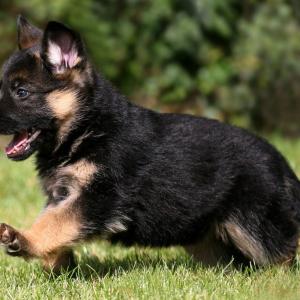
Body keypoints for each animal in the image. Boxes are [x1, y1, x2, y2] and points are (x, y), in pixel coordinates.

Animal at [0, 15, 300, 272]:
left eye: (22, 92)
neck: (87, 129)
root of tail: (281, 163)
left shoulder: (98, 198)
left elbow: (55, 222)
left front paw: (25, 240)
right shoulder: (63, 196)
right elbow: (54, 222)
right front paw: (57, 264)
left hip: (254, 225)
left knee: (283, 251)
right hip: (207, 236)